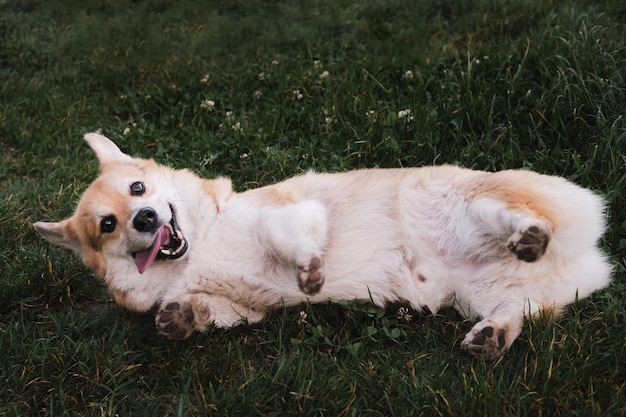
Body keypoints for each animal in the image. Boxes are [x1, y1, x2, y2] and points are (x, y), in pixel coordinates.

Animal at [34, 132, 608, 358]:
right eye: (109, 225)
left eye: (138, 188)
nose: (147, 218)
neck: (200, 247)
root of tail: (592, 258)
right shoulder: (245, 309)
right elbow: (203, 313)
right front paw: (180, 318)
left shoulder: (292, 214)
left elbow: (290, 240)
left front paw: (309, 268)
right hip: (485, 296)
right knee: (513, 312)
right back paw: (493, 335)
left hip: (454, 198)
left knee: (508, 214)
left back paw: (527, 233)